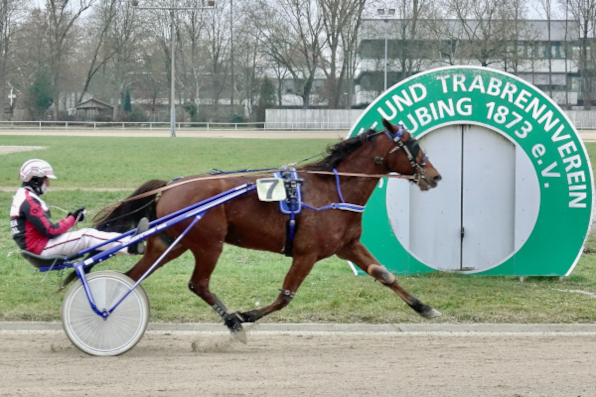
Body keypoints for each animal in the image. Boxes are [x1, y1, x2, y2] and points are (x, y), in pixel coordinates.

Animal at [95, 119, 442, 342]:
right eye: (412, 144)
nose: (436, 176)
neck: (334, 189)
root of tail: (172, 185)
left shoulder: (348, 245)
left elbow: (385, 275)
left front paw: (425, 308)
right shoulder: (306, 254)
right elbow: (285, 297)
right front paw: (245, 316)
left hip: (171, 243)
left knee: (132, 276)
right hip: (209, 243)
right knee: (198, 284)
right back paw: (232, 323)